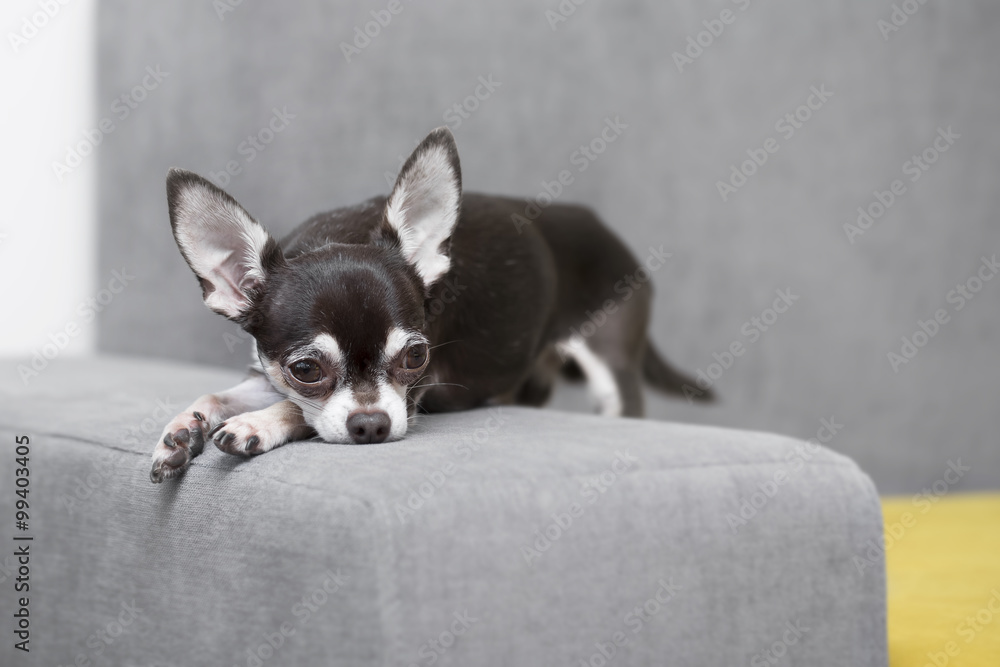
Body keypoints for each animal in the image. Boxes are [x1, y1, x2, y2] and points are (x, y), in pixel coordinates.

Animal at [150, 125, 712, 482]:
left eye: (415, 357)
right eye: (306, 368)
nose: (372, 425)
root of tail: (606, 230)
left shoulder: (422, 393)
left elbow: (296, 409)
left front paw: (257, 425)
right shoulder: (264, 374)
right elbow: (220, 395)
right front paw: (182, 430)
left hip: (610, 362)